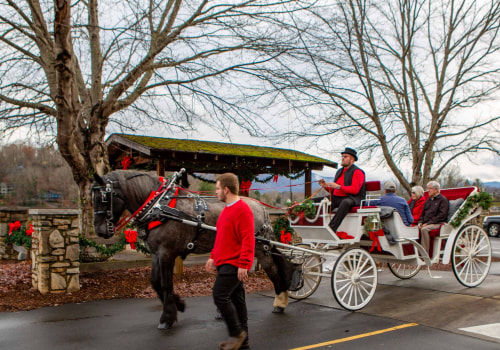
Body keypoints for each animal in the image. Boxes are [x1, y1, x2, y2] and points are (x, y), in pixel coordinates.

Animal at [93, 171, 296, 330]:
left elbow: (165, 284)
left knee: (274, 271)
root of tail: (261, 207)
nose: (100, 231)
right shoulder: (156, 254)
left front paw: (167, 318)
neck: (159, 206)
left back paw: (280, 302)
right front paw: (179, 305)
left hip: (261, 249)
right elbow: (155, 283)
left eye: (104, 197)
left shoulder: (166, 253)